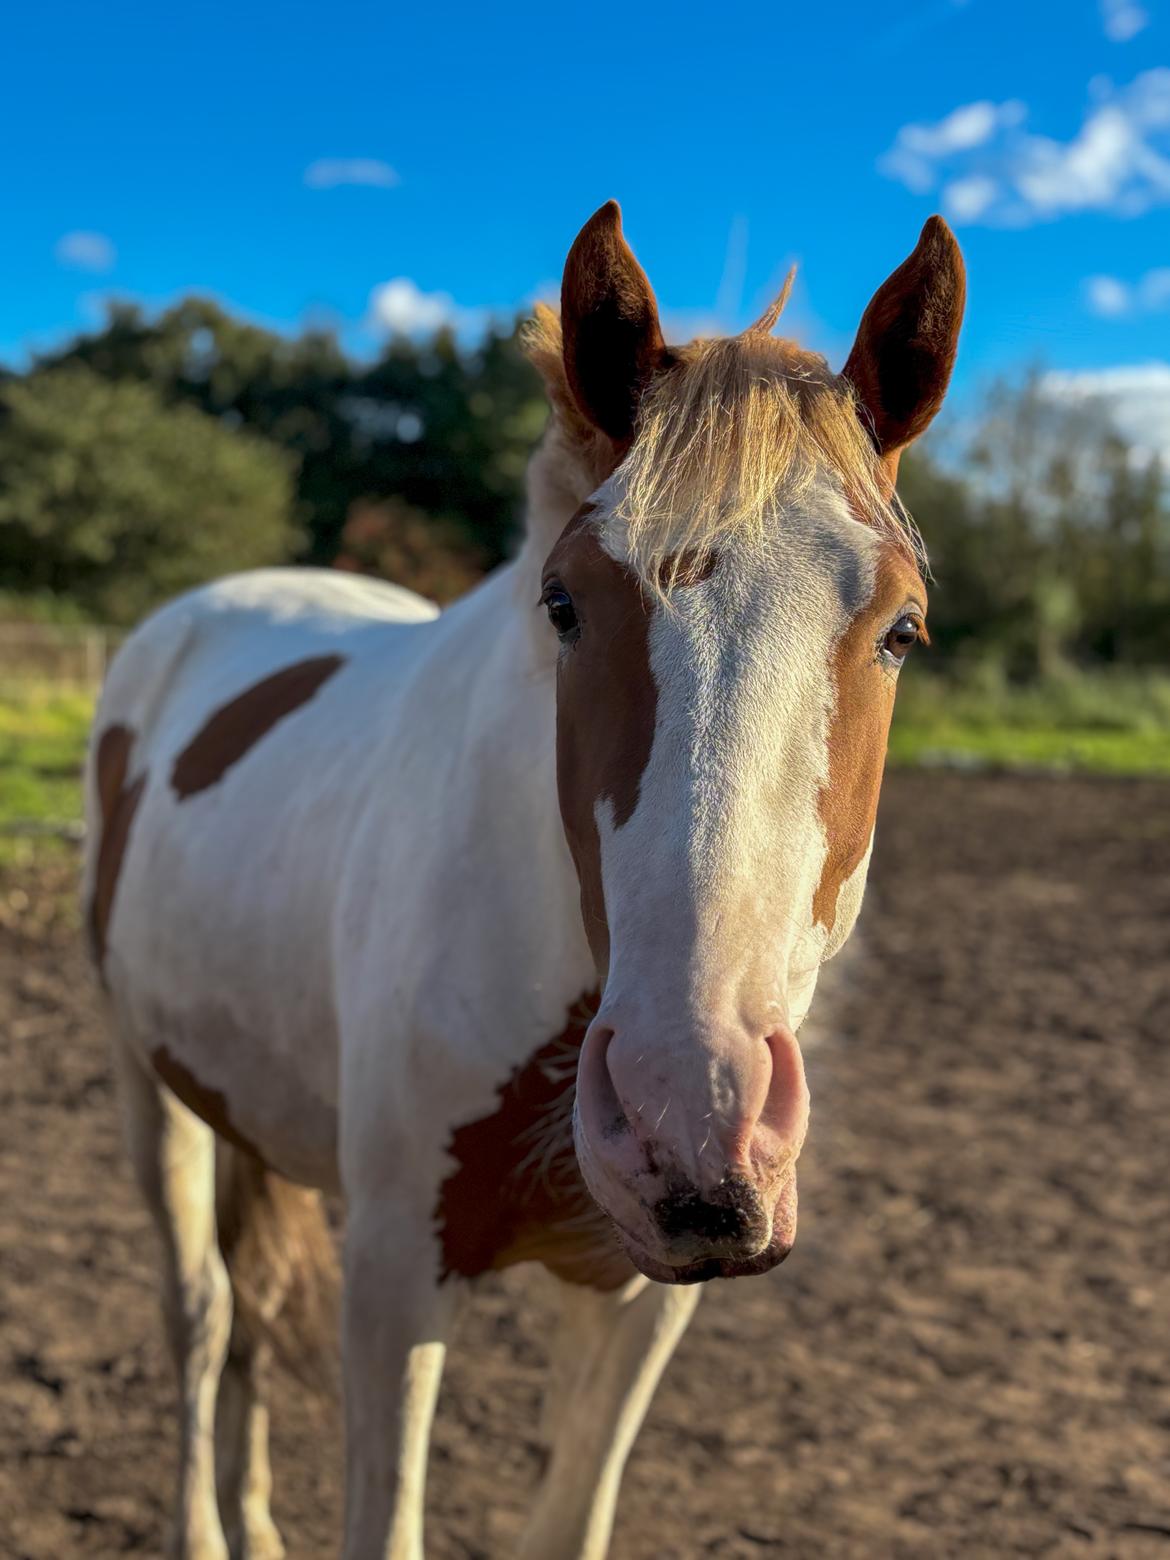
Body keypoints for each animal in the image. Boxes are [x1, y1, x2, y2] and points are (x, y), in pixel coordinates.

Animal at [80, 201, 960, 1553]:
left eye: (903, 630)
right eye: (564, 604)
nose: (690, 1114)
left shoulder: (639, 1304)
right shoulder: (397, 1282)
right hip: (148, 1085)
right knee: (203, 1313)